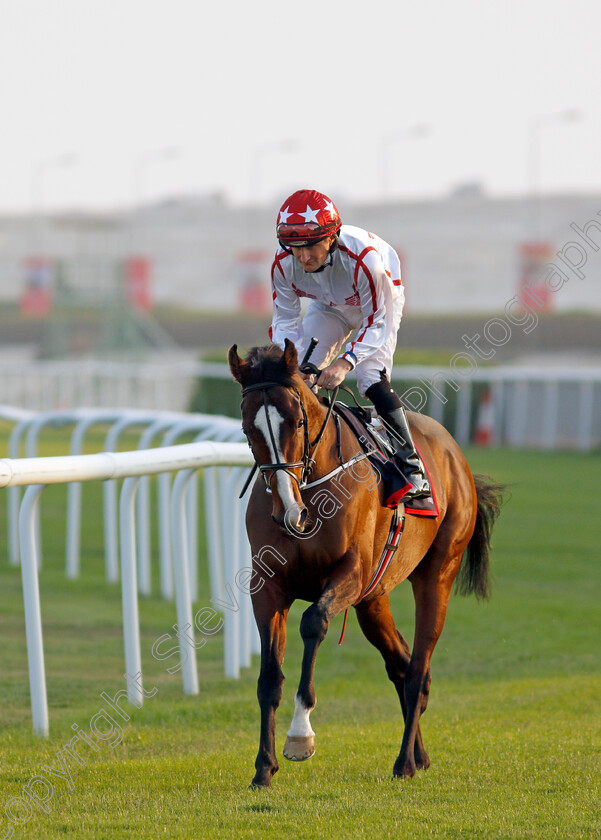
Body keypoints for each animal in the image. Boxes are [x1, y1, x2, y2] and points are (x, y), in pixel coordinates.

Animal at [227, 336, 504, 788]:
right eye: (250, 429)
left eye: (297, 423)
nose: (288, 512)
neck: (312, 492)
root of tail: (454, 452)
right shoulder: (267, 587)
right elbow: (269, 677)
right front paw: (263, 768)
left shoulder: (350, 575)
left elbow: (313, 623)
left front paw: (300, 736)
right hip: (374, 599)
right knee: (402, 664)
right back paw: (419, 755)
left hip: (436, 575)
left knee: (418, 671)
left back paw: (405, 762)